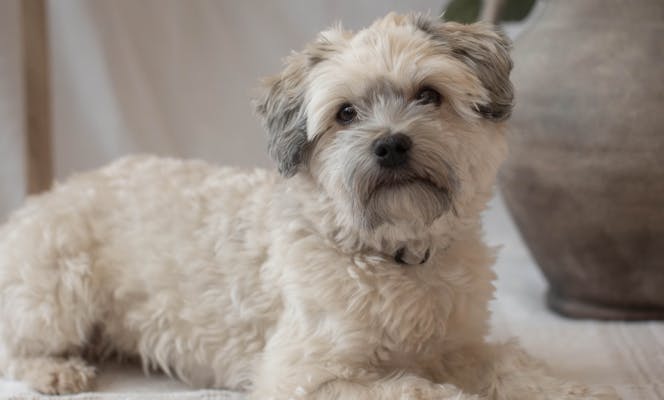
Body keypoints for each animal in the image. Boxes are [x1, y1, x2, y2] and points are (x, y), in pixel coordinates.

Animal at [0, 12, 616, 400]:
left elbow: (509, 364)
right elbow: (418, 391)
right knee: (14, 346)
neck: (394, 254)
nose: (390, 144)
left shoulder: (459, 344)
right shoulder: (303, 375)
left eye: (428, 95)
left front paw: (571, 390)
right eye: (345, 113)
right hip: (59, 289)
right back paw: (58, 373)